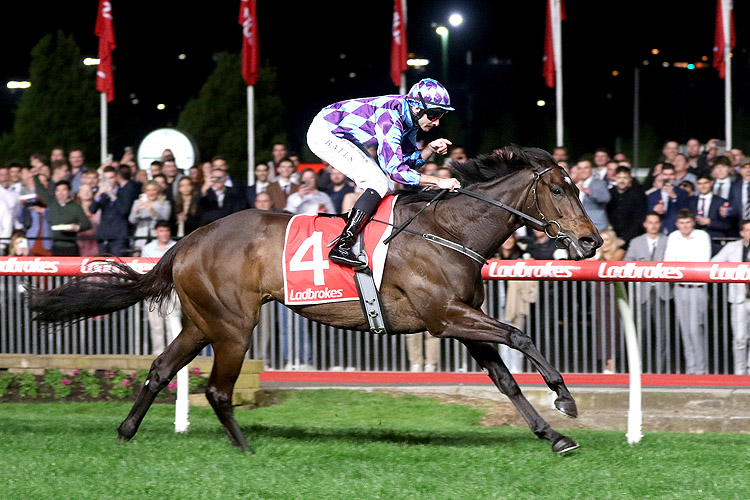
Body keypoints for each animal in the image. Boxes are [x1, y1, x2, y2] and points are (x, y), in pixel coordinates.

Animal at [30, 145, 604, 454]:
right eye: (558, 189)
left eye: (580, 188)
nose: (592, 241)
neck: (448, 229)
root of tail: (187, 240)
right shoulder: (445, 317)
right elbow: (519, 334)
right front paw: (566, 398)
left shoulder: (461, 319)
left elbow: (505, 377)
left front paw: (554, 435)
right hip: (233, 326)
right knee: (216, 389)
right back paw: (245, 447)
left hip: (200, 322)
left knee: (159, 369)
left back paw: (126, 432)